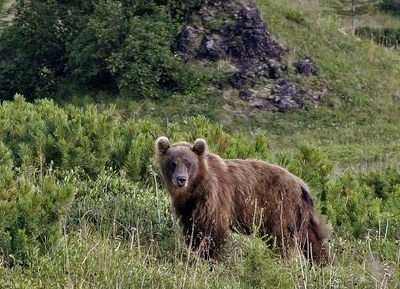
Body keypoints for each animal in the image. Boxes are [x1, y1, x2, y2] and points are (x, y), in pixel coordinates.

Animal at [155, 136, 330, 262]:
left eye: (188, 163)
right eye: (173, 163)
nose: (181, 179)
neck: (195, 188)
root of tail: (302, 185)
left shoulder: (215, 197)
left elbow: (212, 230)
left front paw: (208, 257)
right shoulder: (187, 207)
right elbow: (192, 228)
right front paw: (195, 250)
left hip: (280, 208)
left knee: (281, 240)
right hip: (302, 215)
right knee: (315, 240)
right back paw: (322, 263)